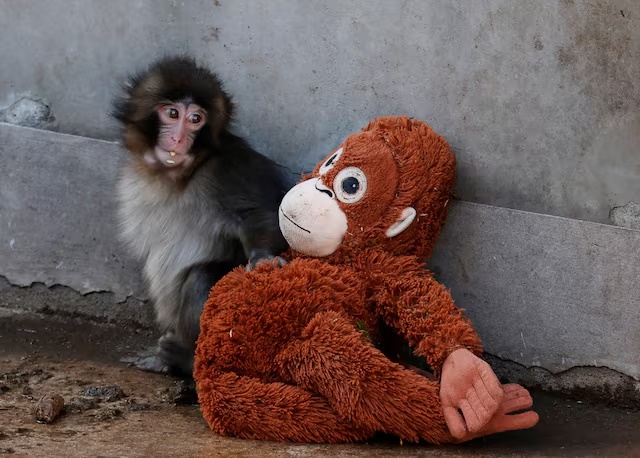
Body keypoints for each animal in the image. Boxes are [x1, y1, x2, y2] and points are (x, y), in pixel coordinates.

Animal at [112, 56, 291, 377]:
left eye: (196, 119)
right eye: (172, 113)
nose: (179, 138)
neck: (179, 175)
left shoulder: (228, 168)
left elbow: (259, 214)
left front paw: (263, 258)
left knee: (201, 278)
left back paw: (185, 360)